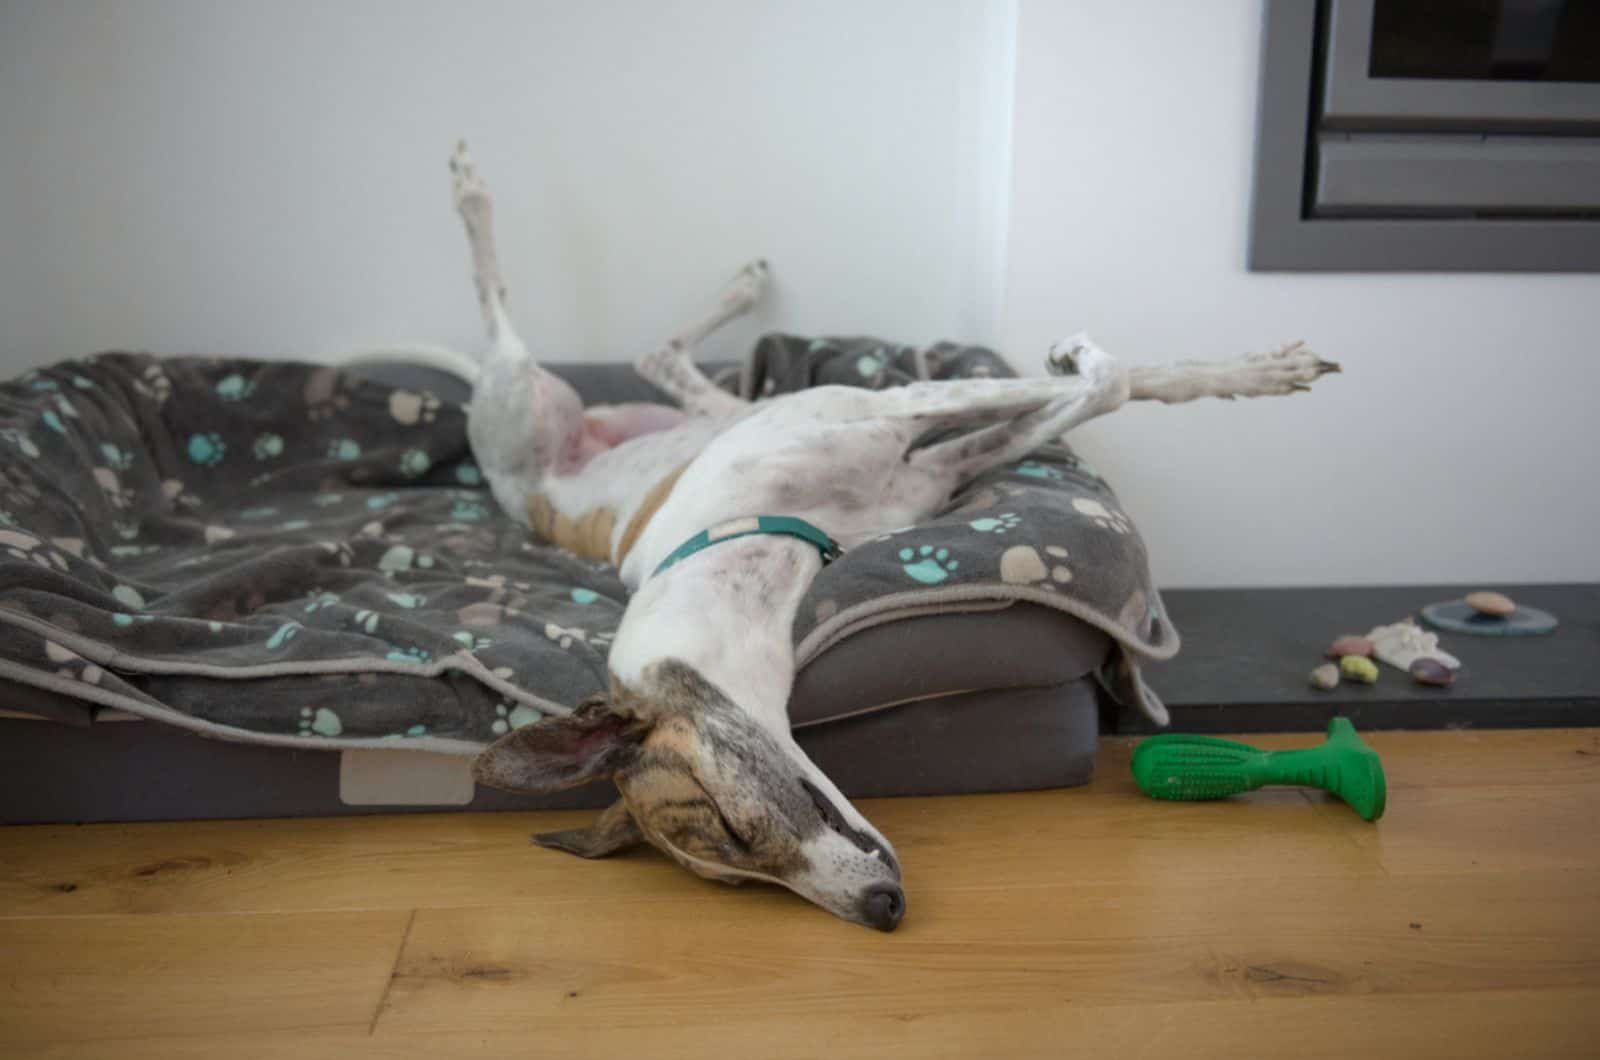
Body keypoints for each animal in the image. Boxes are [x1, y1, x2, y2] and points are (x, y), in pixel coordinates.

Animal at [438, 143, 1337, 928]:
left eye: (730, 824)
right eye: (736, 874)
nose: (882, 910)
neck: (735, 535)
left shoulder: (897, 417)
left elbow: (1111, 381)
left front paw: (1248, 371)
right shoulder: (921, 458)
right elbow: (1095, 390)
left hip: (554, 403)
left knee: (567, 335)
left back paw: (480, 191)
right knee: (649, 355)